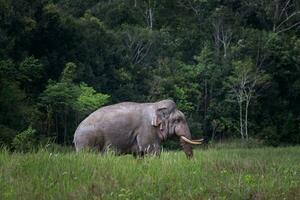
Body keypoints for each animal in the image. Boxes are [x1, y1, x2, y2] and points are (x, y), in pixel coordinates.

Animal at [73, 99, 203, 159]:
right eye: (178, 120)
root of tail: (75, 133)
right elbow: (153, 152)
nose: (191, 162)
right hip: (87, 140)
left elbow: (139, 154)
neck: (155, 105)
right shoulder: (147, 130)